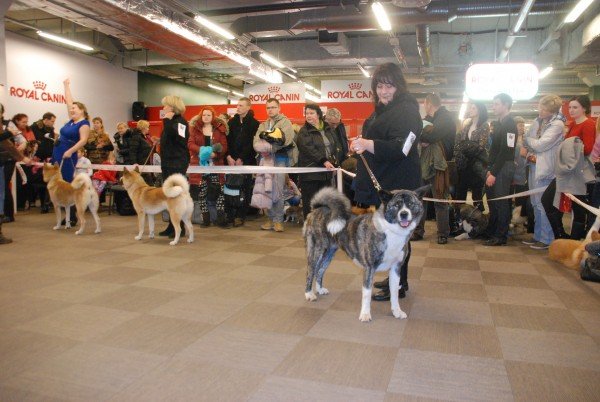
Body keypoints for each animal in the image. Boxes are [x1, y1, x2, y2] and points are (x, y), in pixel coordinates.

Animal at [303, 187, 425, 322]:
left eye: (410, 204)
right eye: (397, 205)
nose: (404, 214)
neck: (391, 231)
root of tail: (316, 209)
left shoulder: (396, 268)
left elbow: (394, 293)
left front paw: (397, 312)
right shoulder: (369, 268)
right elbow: (366, 294)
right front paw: (365, 314)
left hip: (329, 253)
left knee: (320, 270)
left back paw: (320, 289)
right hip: (316, 251)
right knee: (310, 271)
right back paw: (309, 294)